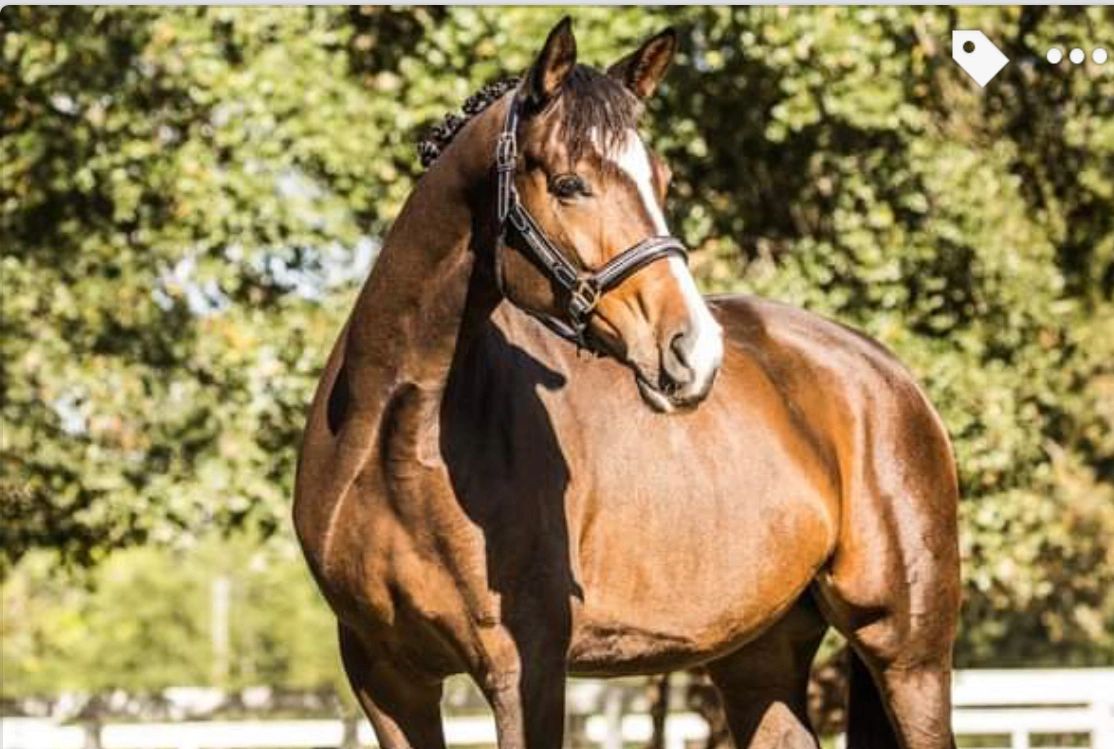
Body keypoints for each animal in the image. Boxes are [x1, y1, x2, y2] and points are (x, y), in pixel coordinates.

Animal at [294, 18, 960, 749]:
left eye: (661, 180)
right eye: (569, 183)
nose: (693, 349)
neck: (391, 434)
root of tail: (887, 372)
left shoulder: (523, 668)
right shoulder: (387, 679)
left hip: (908, 654)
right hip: (758, 656)